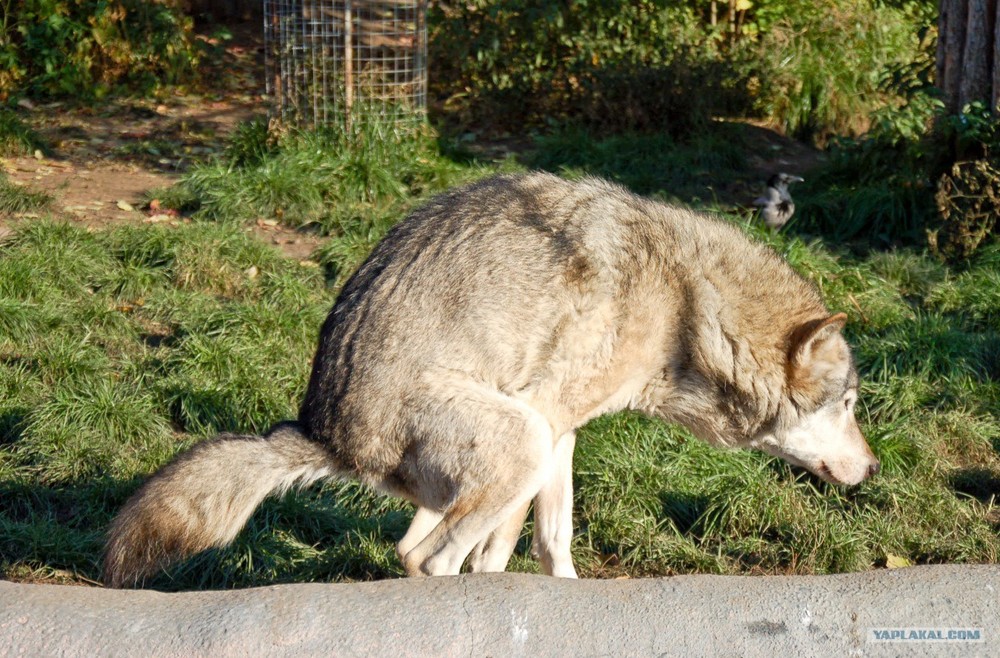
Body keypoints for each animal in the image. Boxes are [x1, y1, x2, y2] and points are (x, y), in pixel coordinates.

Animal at [103, 170, 876, 584]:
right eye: (849, 403)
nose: (872, 469)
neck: (689, 305)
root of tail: (324, 433)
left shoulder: (565, 430)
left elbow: (553, 539)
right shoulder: (552, 419)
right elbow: (503, 552)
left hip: (510, 454)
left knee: (409, 551)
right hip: (519, 438)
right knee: (432, 560)